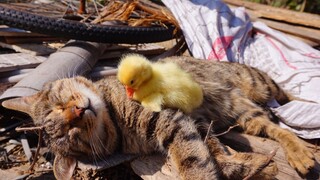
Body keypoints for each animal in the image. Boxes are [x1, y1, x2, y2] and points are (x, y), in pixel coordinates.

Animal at [0, 56, 316, 179]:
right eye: (69, 134)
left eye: (56, 105)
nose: (77, 112)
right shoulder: (190, 123)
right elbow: (215, 152)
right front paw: (255, 165)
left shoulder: (172, 119)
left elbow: (195, 161)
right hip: (246, 115)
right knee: (275, 128)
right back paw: (298, 153)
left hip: (259, 84)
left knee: (287, 98)